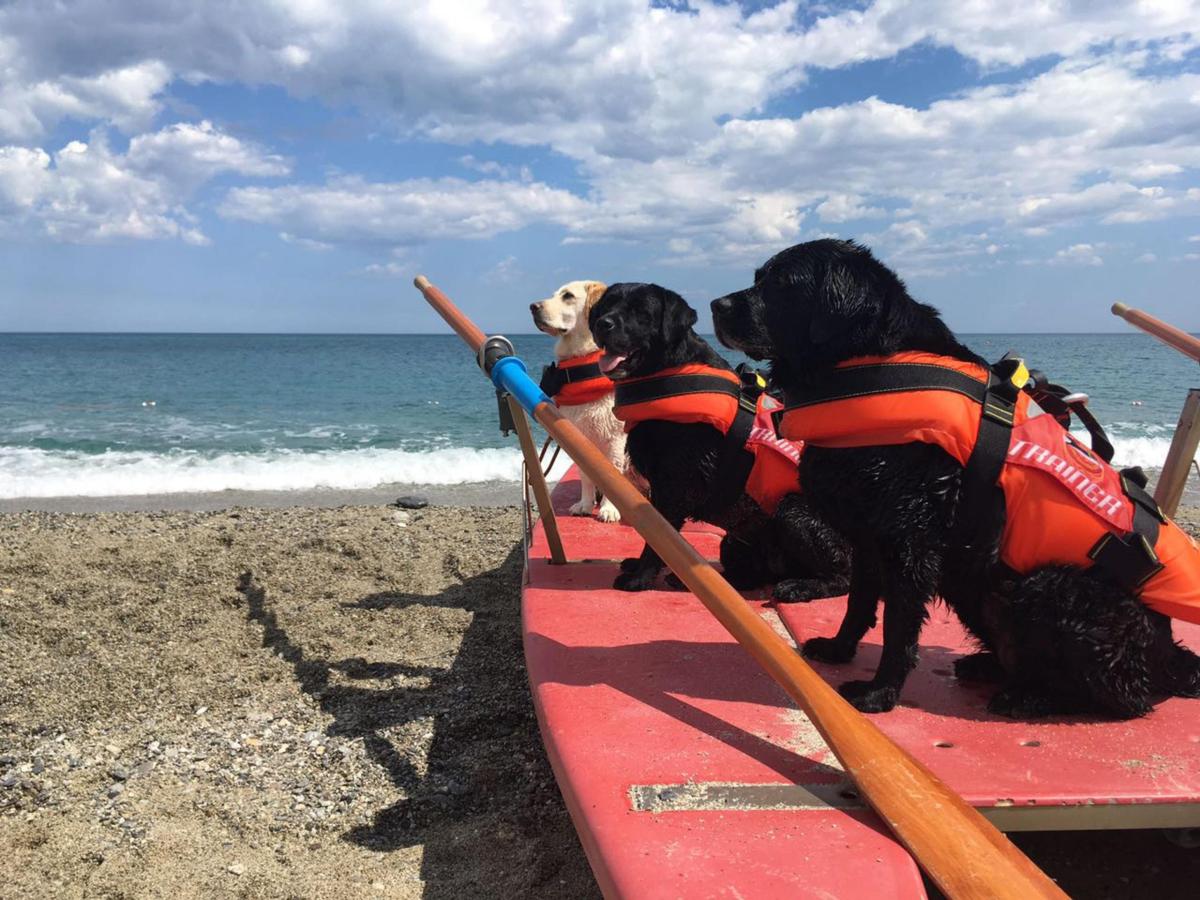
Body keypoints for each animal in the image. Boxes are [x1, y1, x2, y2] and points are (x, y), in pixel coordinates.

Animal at [535, 280, 628, 520]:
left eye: (568, 296)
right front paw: (585, 504)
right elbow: (586, 475)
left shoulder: (616, 438)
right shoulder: (580, 438)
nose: (533, 306)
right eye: (554, 295)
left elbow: (614, 473)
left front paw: (609, 509)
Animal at [585, 282, 849, 602]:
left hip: (793, 511)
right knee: (751, 576)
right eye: (606, 305)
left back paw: (800, 586)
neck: (668, 373)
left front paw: (639, 578)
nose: (603, 323)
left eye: (641, 311)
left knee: (841, 578)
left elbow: (658, 538)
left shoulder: (674, 488)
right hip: (734, 543)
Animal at [710, 240, 1200, 720]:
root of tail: (1173, 660)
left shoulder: (912, 543)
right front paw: (838, 649)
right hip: (978, 590)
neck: (870, 366)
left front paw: (879, 694)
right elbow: (859, 603)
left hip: (1049, 590)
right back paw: (988, 668)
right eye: (758, 277)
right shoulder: (869, 536)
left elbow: (898, 629)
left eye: (782, 283)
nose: (716, 304)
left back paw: (1030, 698)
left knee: (1126, 700)